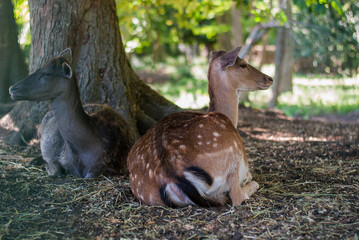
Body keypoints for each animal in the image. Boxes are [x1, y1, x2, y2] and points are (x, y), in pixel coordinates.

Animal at [8, 48, 138, 178]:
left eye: (46, 74)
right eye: (39, 68)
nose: (12, 89)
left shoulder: (108, 165)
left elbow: (88, 175)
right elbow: (56, 170)